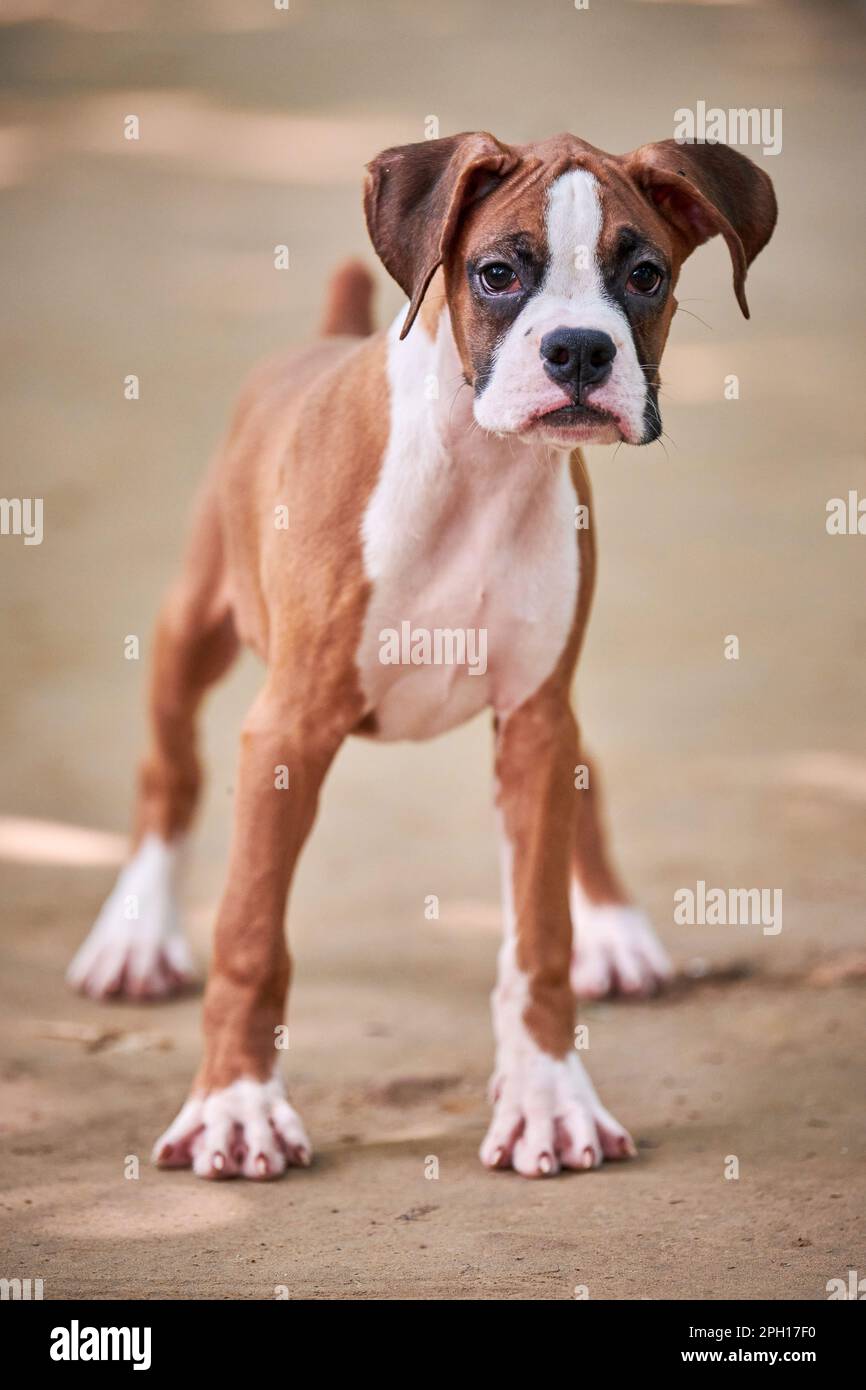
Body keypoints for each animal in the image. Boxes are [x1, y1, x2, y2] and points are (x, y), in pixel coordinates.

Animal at [69, 130, 778, 1178]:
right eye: (497, 273)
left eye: (645, 274)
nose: (580, 349)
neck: (478, 469)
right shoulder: (288, 732)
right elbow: (250, 936)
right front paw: (236, 1108)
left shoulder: (534, 717)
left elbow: (537, 940)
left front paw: (547, 1096)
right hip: (190, 626)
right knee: (171, 769)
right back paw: (134, 937)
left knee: (588, 778)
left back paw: (615, 931)